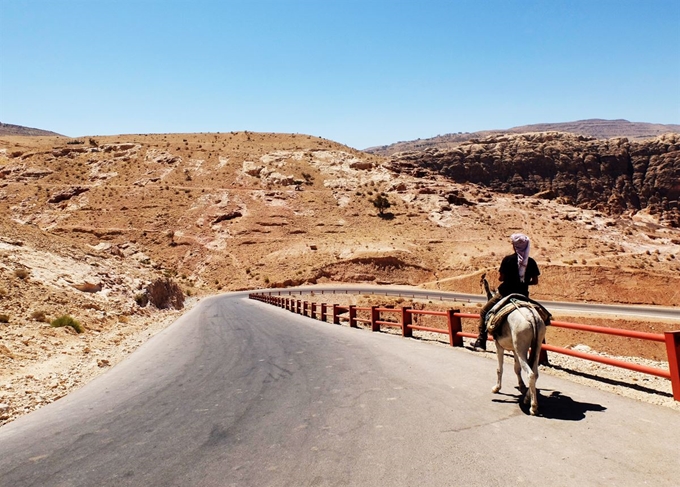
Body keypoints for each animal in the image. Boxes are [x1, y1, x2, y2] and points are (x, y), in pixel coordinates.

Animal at [484, 274, 548, 416]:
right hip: (535, 347)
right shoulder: (514, 350)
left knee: (531, 373)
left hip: (521, 349)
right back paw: (527, 398)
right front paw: (522, 386)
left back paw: (533, 407)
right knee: (535, 373)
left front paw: (497, 388)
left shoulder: (499, 346)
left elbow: (499, 368)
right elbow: (516, 368)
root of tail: (531, 316)